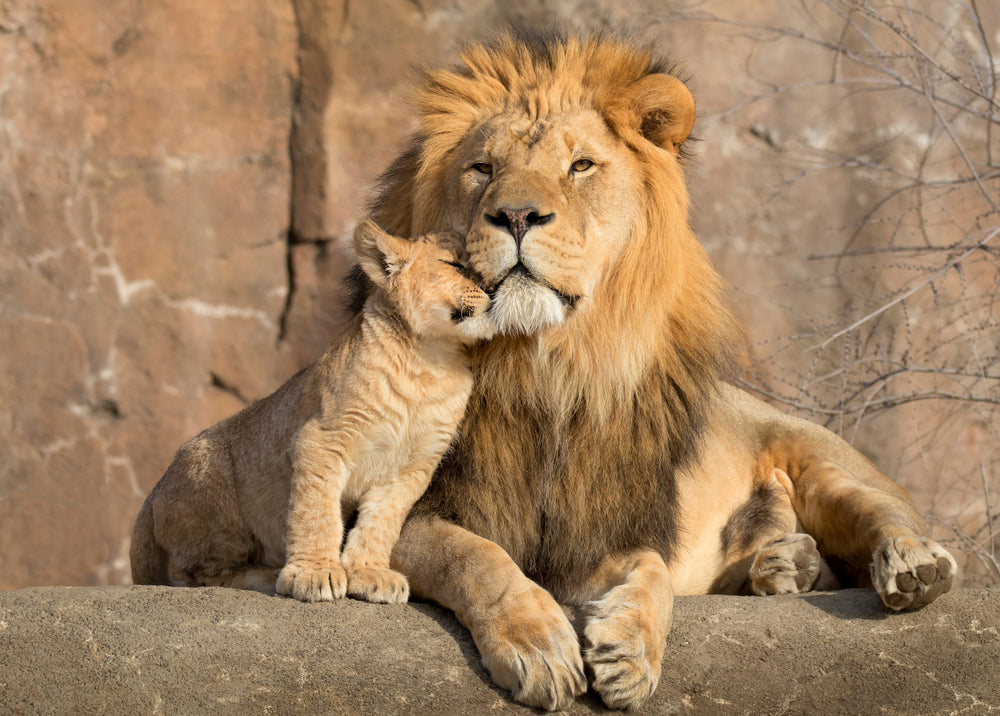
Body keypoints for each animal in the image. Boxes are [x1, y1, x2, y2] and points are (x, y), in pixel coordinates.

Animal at [130, 221, 495, 604]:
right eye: (454, 265)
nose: (492, 288)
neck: (430, 361)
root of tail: (152, 493)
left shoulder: (413, 467)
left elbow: (382, 522)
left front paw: (370, 573)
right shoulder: (323, 438)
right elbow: (317, 511)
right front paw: (314, 573)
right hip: (213, 487)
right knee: (198, 576)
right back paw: (267, 575)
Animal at [360, 30, 958, 711]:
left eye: (580, 166)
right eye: (482, 169)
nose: (515, 216)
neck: (545, 367)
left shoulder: (600, 530)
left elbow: (650, 570)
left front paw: (630, 653)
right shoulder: (405, 511)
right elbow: (476, 556)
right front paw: (539, 645)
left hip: (825, 465)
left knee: (887, 516)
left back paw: (910, 565)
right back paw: (783, 565)